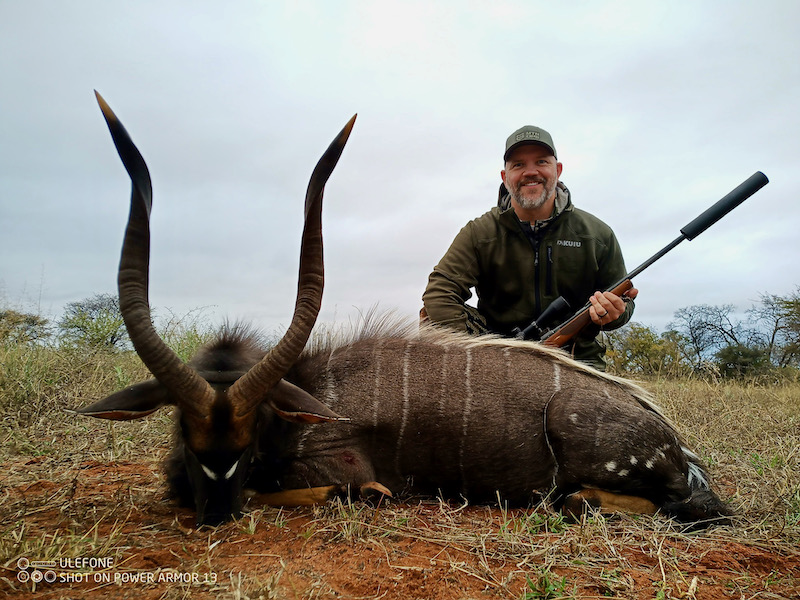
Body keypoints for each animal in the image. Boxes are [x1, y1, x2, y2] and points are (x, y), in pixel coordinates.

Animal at [73, 92, 732, 528]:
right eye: (182, 427)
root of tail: (676, 448)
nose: (215, 511)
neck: (303, 401)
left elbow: (315, 491)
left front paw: (374, 495)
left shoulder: (329, 469)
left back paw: (579, 501)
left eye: (252, 426)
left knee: (685, 507)